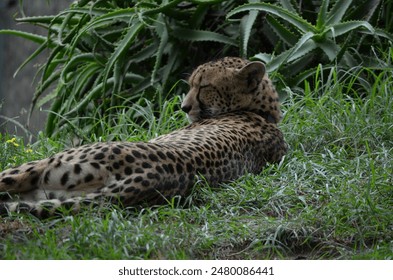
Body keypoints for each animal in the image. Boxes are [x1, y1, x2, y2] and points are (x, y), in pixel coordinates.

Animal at [0, 57, 288, 218]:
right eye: (191, 85)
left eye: (205, 86)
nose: (184, 107)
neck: (261, 112)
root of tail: (151, 176)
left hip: (42, 167)